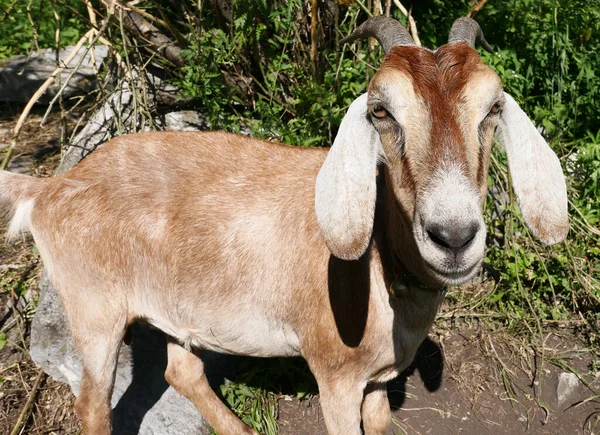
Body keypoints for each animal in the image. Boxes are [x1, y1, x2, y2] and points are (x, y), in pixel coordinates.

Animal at [0, 16, 568, 435]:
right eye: (381, 111)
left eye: (493, 108)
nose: (453, 236)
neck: (381, 265)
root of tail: (49, 189)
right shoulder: (335, 376)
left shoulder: (378, 381)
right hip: (93, 311)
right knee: (93, 405)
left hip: (177, 307)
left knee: (181, 370)